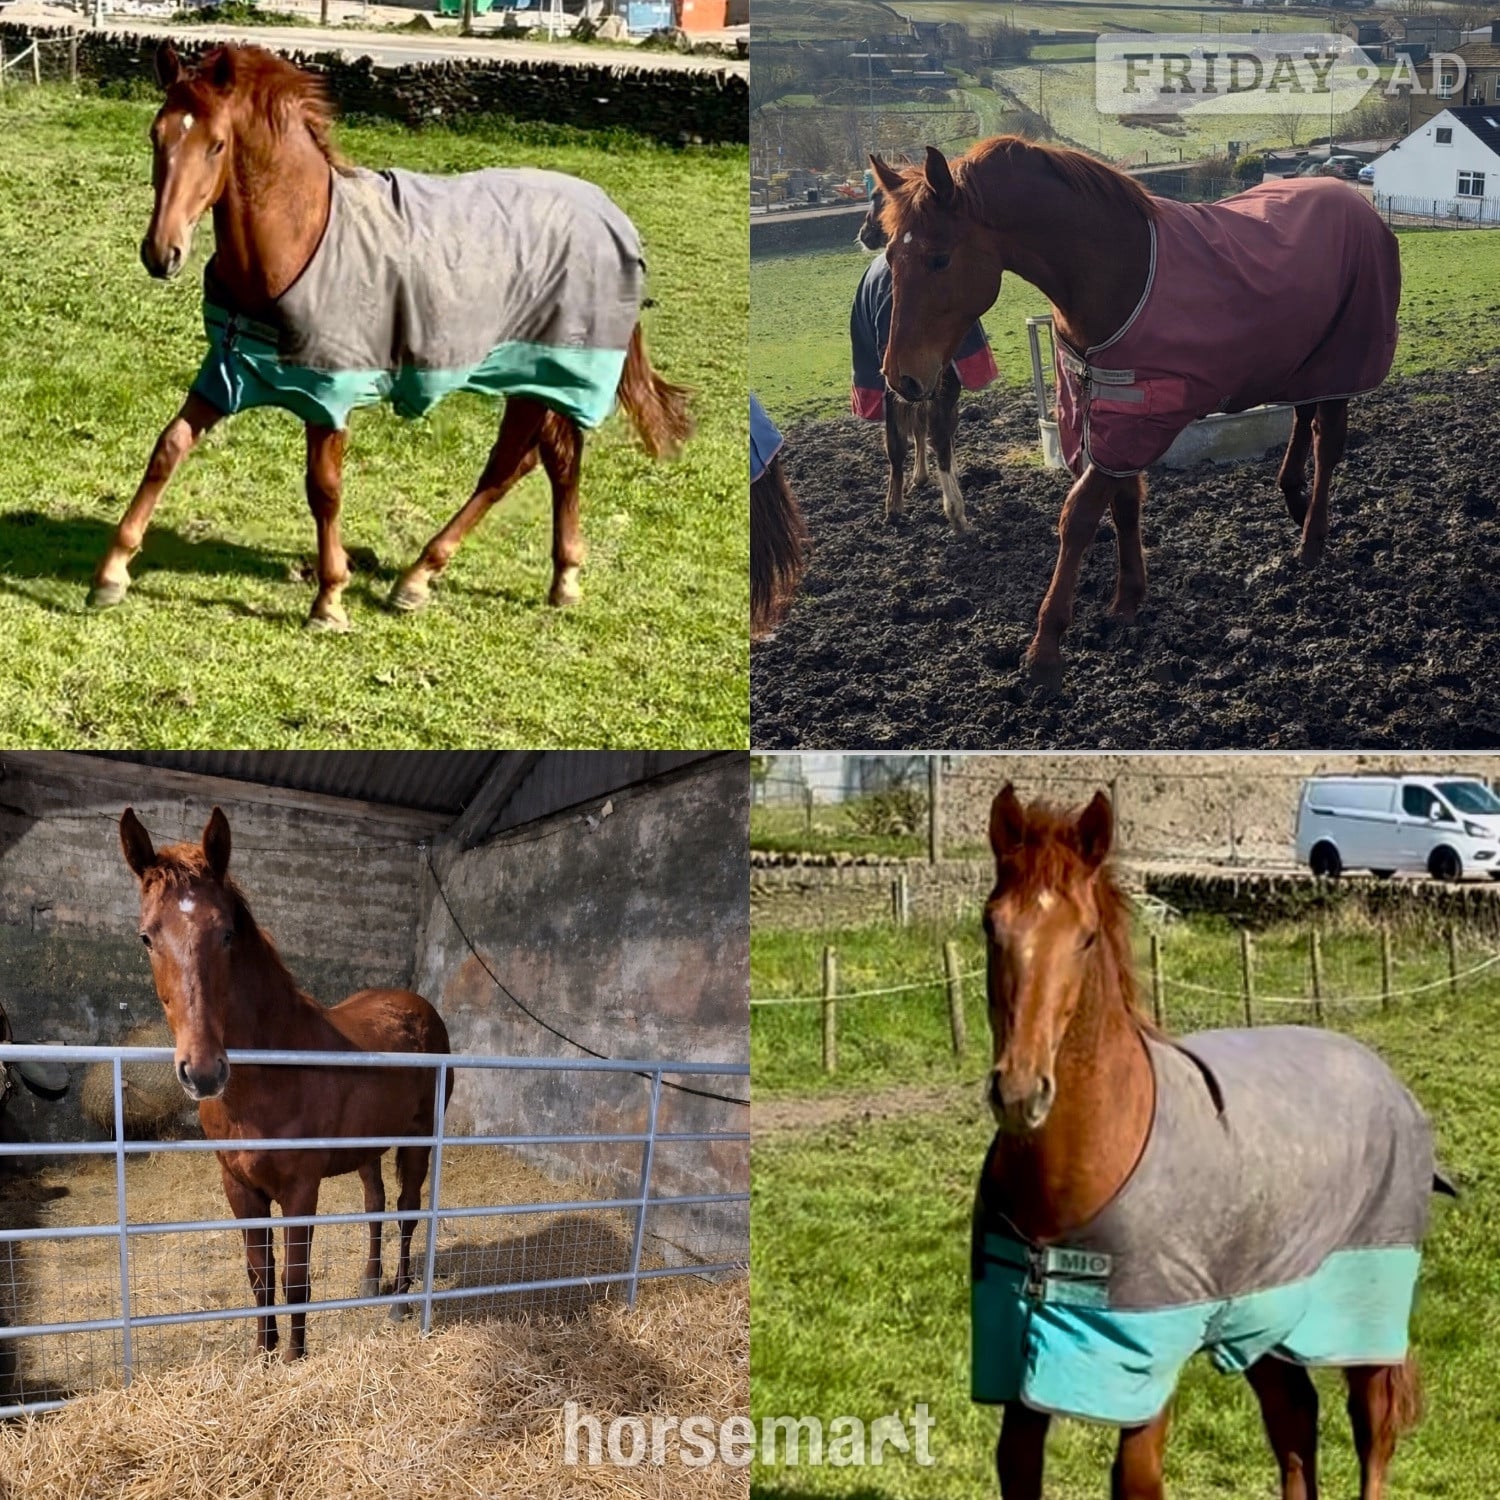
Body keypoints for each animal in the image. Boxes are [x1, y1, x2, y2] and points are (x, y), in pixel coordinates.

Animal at [91, 42, 693, 629]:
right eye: (156, 135)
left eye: (217, 145)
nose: (161, 252)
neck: (297, 241)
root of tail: (612, 216)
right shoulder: (227, 374)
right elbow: (168, 447)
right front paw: (112, 572)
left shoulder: (327, 394)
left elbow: (324, 488)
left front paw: (329, 600)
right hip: (538, 380)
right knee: (552, 461)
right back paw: (554, 578)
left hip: (543, 373)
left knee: (508, 467)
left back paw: (421, 578)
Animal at [118, 805, 453, 1361]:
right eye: (147, 937)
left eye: (226, 933)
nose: (203, 1071)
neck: (267, 1079)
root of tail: (420, 1006)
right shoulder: (240, 1188)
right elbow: (261, 1278)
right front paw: (265, 1356)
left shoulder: (300, 1188)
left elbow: (295, 1282)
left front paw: (294, 1360)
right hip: (369, 1148)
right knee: (375, 1203)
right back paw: (370, 1282)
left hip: (417, 1140)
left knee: (407, 1211)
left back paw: (400, 1301)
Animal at [853, 189, 997, 533]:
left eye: (874, 198)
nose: (865, 233)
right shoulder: (918, 384)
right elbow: (923, 436)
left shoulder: (915, 383)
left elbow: (916, 436)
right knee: (929, 432)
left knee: (914, 436)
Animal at [871, 141, 1400, 682]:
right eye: (889, 255)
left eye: (939, 258)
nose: (899, 377)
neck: (1115, 273)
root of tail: (1353, 199)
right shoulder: (1108, 416)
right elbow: (1124, 505)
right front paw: (1127, 599)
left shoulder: (1137, 419)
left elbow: (1080, 516)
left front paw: (1046, 646)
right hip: (1304, 363)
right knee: (1302, 420)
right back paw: (1293, 498)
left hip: (1341, 363)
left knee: (1327, 444)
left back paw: (1312, 540)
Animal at [975, 783, 1450, 1500]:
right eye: (990, 925)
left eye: (1086, 938)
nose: (1021, 1091)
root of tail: (1383, 1075)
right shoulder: (1023, 1361)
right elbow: (1017, 1465)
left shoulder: (1146, 1357)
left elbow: (1137, 1479)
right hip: (1267, 1312)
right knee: (1294, 1419)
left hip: (1362, 1310)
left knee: (1373, 1429)